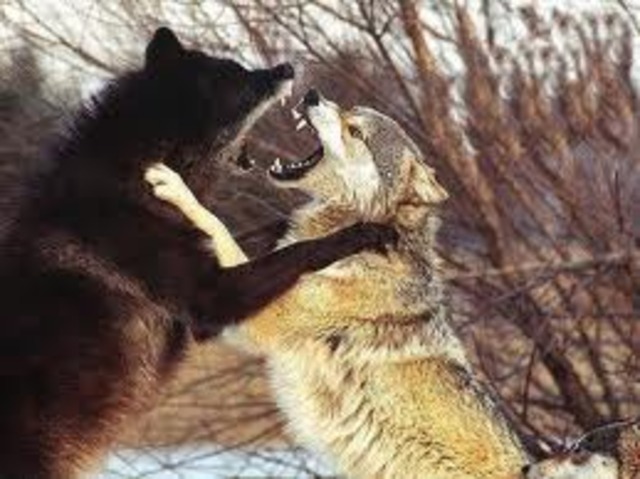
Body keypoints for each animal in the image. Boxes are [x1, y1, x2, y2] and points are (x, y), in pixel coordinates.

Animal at [0, 29, 395, 478]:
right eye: (240, 79)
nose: (287, 68)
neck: (137, 177)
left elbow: (277, 232)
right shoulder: (213, 297)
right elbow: (301, 250)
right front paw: (362, 232)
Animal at [148, 89, 530, 479]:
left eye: (355, 131)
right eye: (348, 109)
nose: (312, 94)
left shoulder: (258, 319)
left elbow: (217, 225)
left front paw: (177, 188)